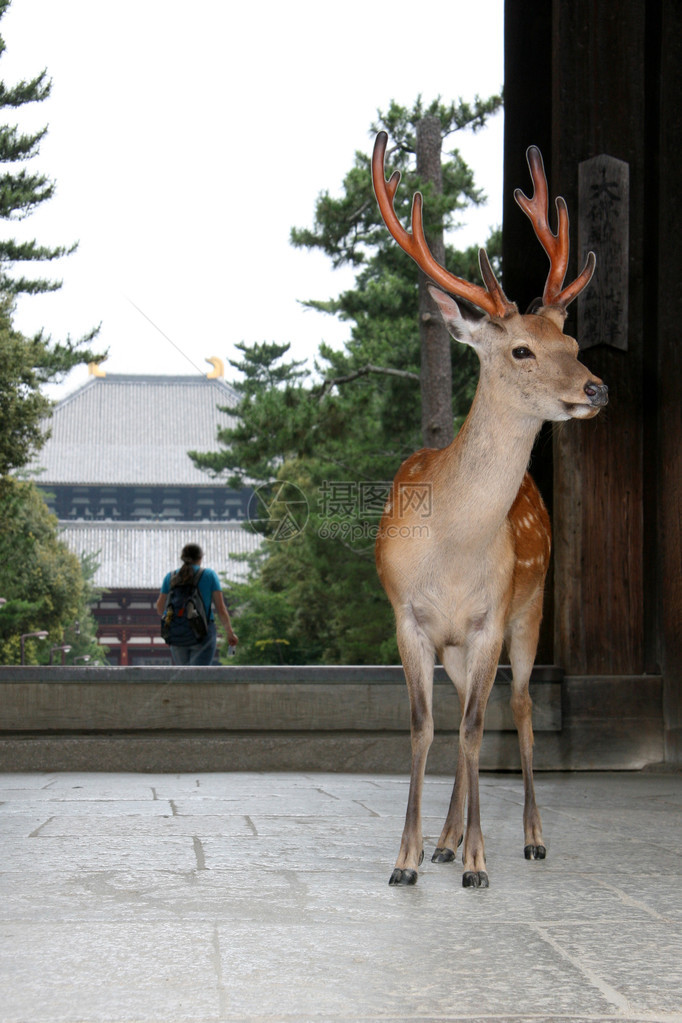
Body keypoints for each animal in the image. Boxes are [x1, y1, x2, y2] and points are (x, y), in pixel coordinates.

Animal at [374, 134, 609, 887]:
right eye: (523, 348)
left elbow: (482, 727)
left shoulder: (487, 619)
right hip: (462, 643)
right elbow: (425, 726)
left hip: (529, 611)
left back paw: (528, 837)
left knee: (523, 706)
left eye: (574, 344)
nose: (596, 388)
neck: (453, 548)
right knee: (462, 718)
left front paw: (479, 861)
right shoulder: (409, 617)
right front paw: (408, 859)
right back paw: (446, 841)